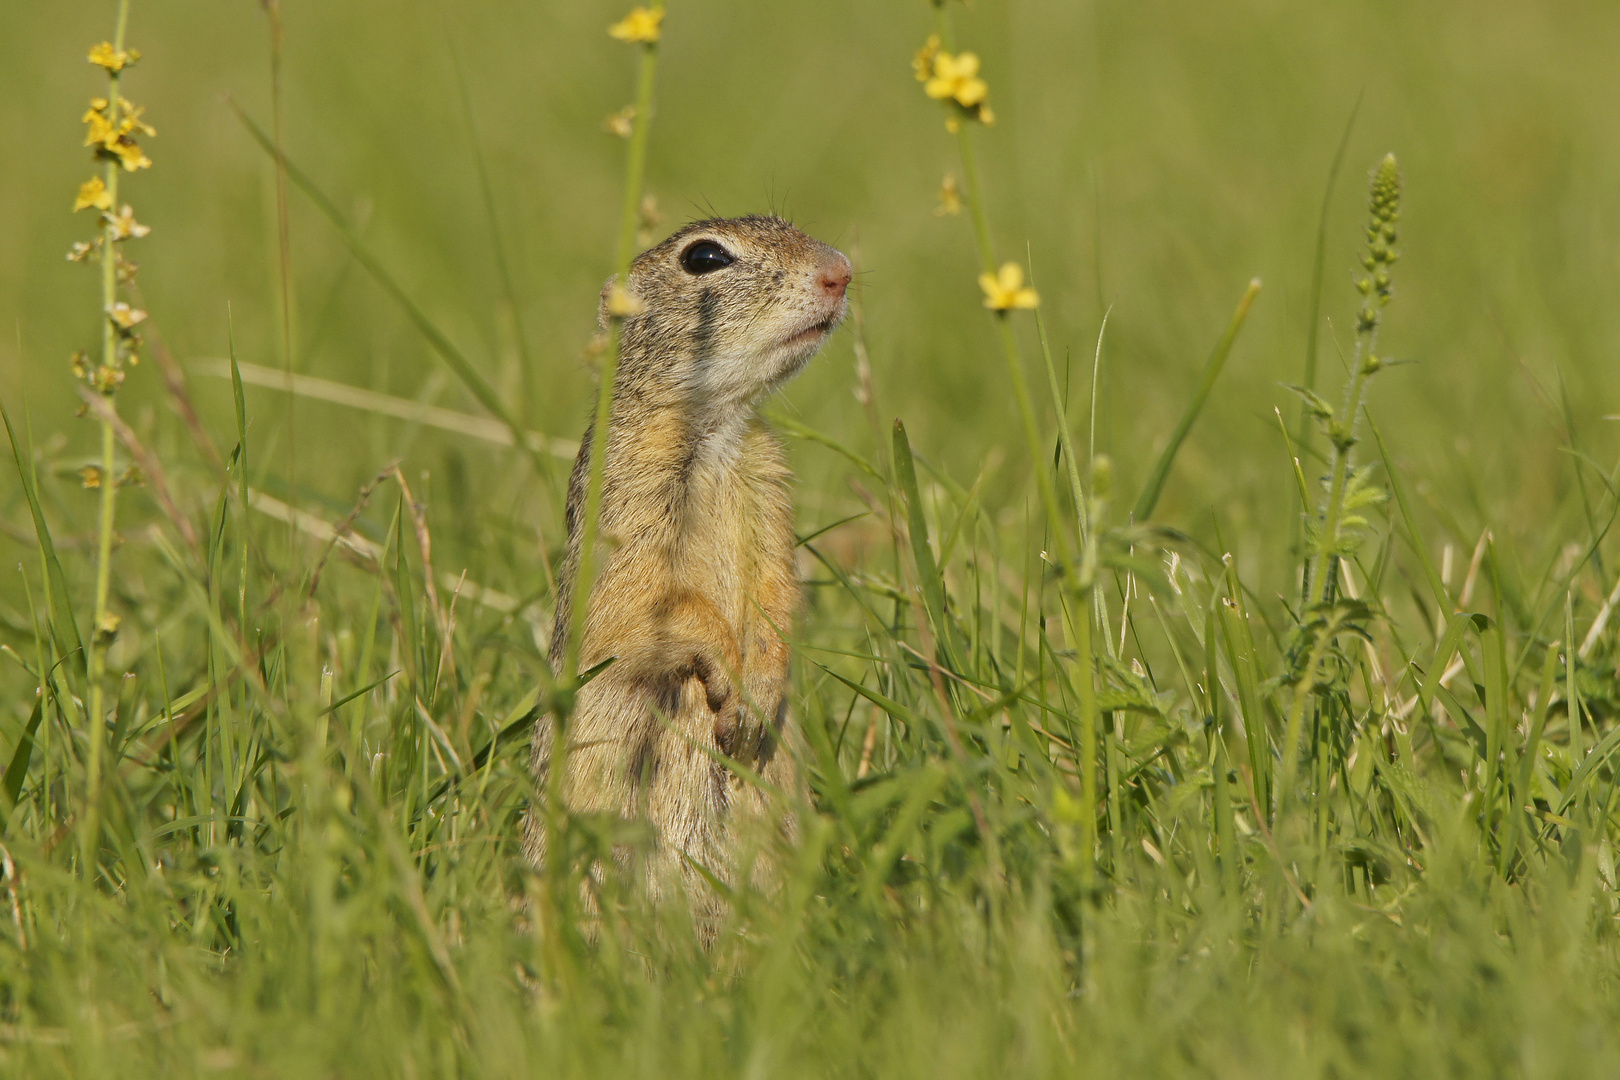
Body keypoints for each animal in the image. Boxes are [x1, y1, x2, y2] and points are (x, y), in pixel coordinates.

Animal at [528, 215, 861, 926]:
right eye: (704, 257)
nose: (841, 271)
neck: (716, 432)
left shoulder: (770, 493)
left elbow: (778, 591)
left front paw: (760, 689)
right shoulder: (627, 507)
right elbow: (648, 599)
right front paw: (729, 680)